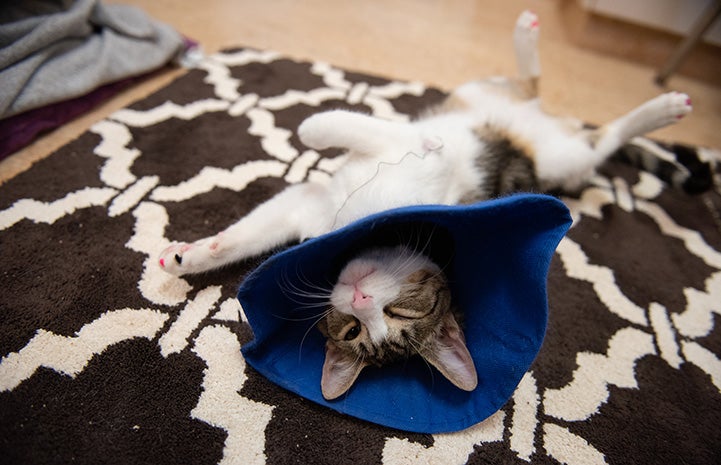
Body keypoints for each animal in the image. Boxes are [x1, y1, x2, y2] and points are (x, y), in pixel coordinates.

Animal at [159, 9, 692, 396]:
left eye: (399, 317)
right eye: (353, 331)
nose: (361, 300)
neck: (345, 217)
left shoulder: (408, 154)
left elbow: (335, 128)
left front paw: (315, 127)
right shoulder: (309, 200)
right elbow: (251, 231)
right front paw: (191, 255)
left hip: (566, 157)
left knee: (603, 137)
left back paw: (662, 109)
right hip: (480, 95)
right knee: (532, 87)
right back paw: (528, 37)